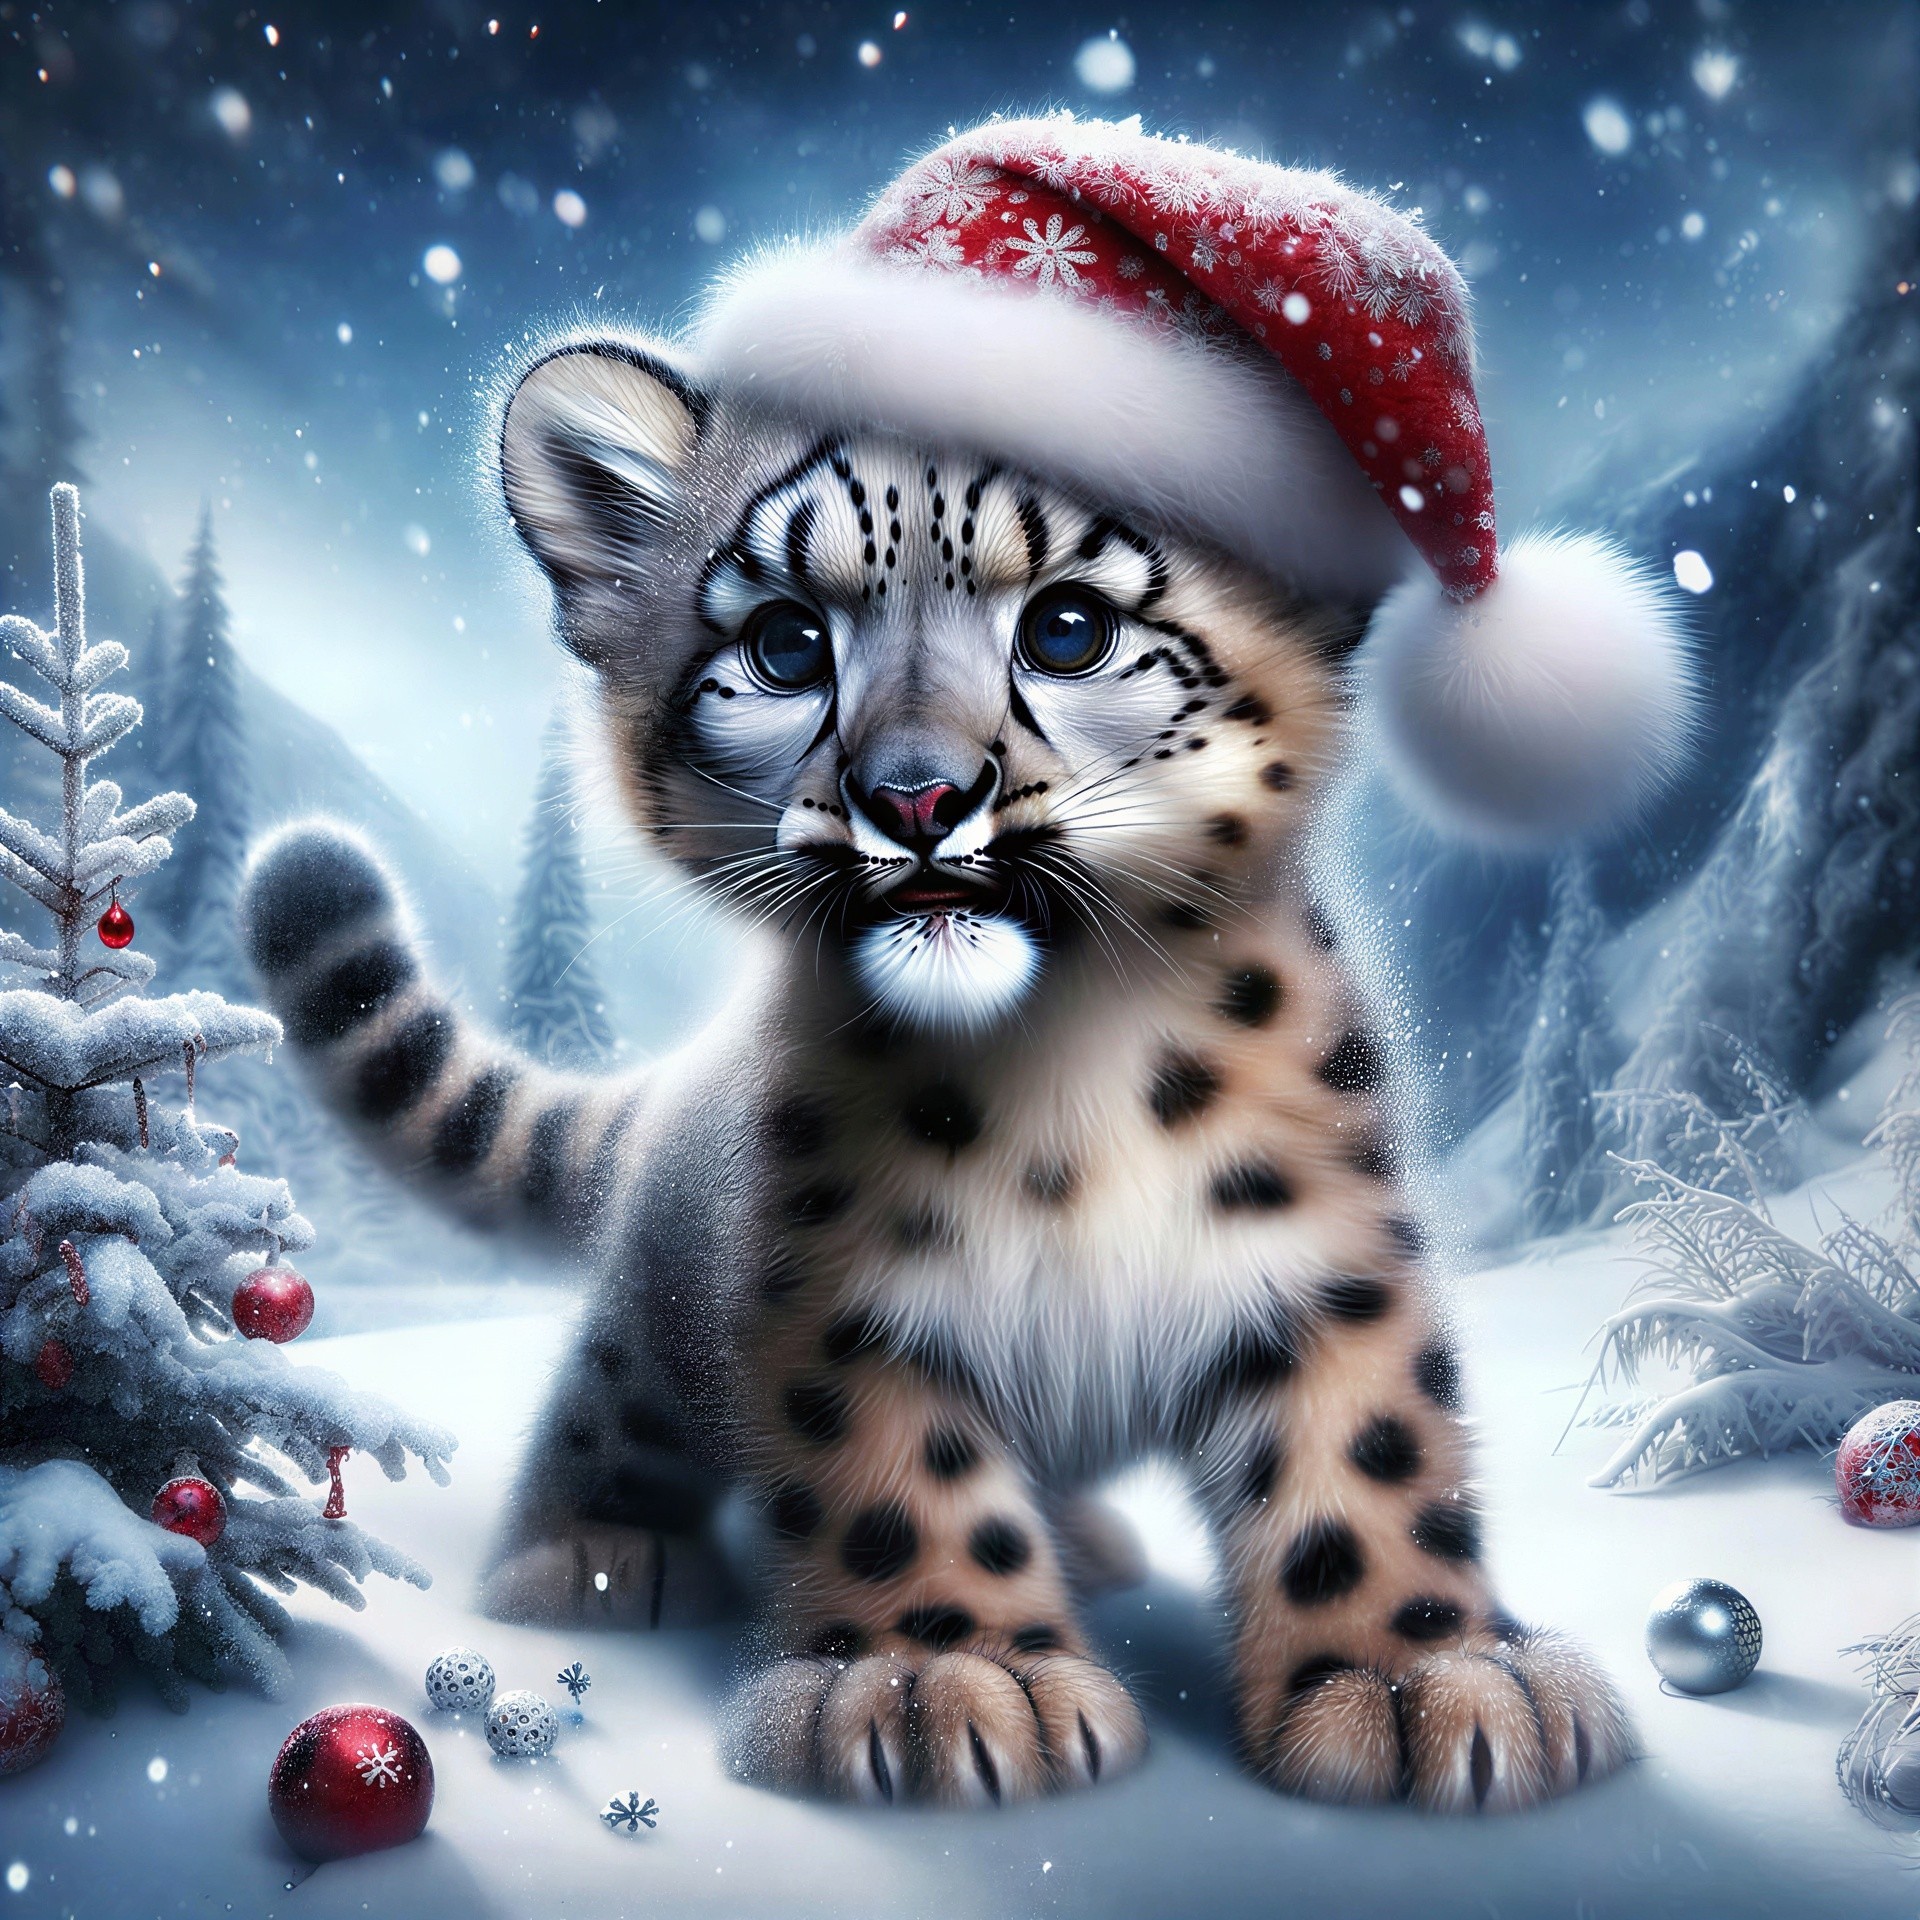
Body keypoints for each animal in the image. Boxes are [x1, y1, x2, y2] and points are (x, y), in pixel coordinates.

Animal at [237, 334, 1634, 1814]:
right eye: (787, 642)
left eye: (1069, 627)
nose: (913, 798)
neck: (1068, 1071)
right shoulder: (846, 1286)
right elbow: (898, 1475)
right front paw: (946, 1677)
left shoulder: (1322, 1254)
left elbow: (1369, 1451)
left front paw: (1423, 1673)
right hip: (653, 1322)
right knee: (605, 1397)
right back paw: (590, 1556)